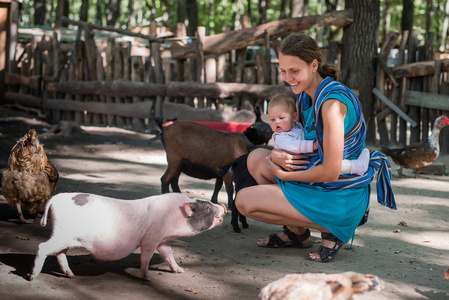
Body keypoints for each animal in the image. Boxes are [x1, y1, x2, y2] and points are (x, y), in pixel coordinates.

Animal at [28, 192, 226, 282]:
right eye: (207, 208)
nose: (223, 206)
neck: (172, 214)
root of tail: (55, 198)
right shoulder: (150, 238)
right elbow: (146, 257)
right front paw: (148, 279)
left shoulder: (162, 239)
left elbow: (168, 254)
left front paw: (181, 271)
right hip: (61, 234)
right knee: (42, 247)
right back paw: (32, 277)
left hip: (63, 235)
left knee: (60, 253)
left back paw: (71, 275)